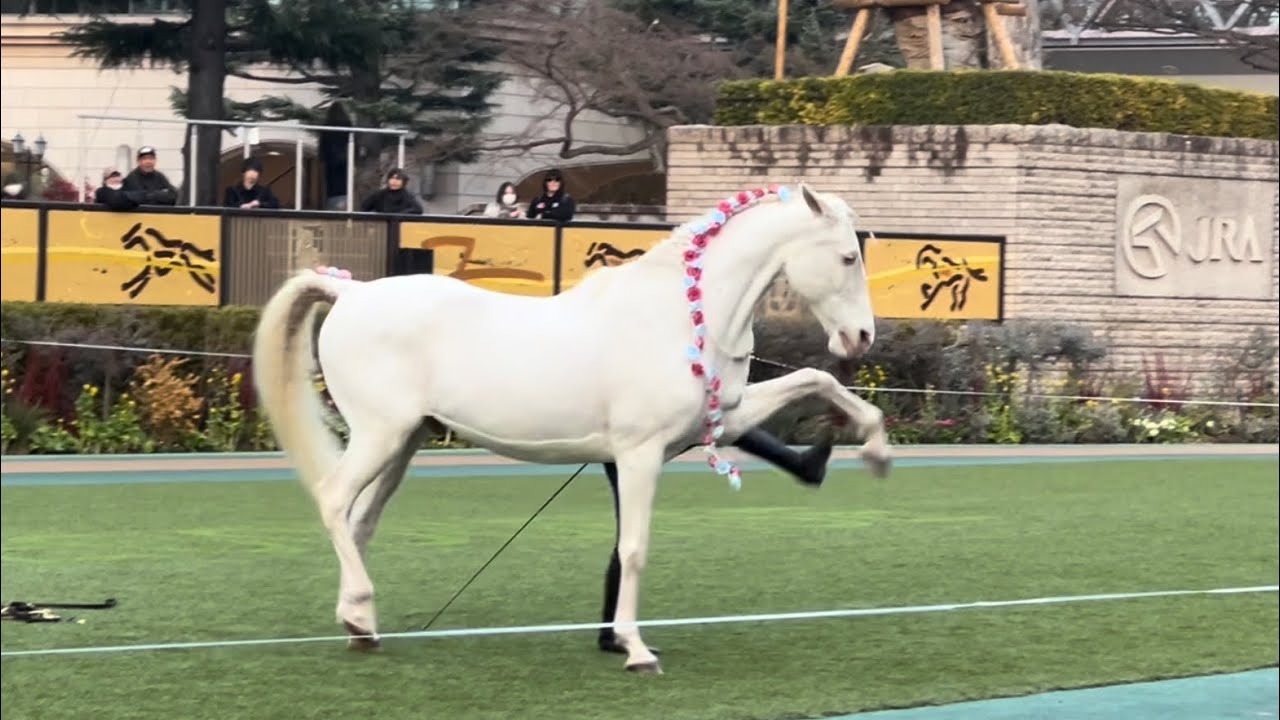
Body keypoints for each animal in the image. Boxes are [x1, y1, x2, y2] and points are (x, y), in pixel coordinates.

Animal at [251, 183, 893, 674]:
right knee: (334, 501)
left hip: (404, 443)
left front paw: (876, 448)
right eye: (847, 258)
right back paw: (360, 609)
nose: (861, 337)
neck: (683, 313)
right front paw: (635, 649)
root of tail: (350, 290)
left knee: (360, 521)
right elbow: (633, 548)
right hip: (380, 435)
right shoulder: (639, 454)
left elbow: (814, 378)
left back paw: (359, 624)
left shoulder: (723, 417)